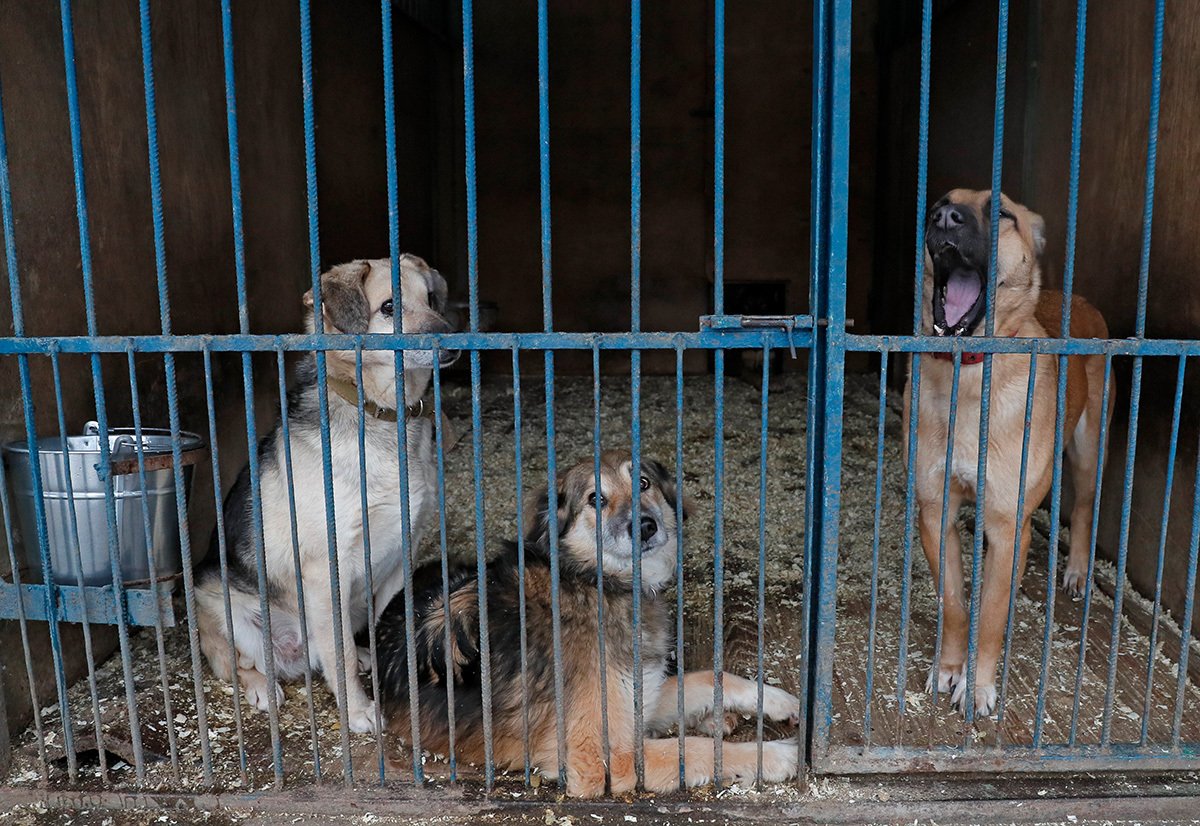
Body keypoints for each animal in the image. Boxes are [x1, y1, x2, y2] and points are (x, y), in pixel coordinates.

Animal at [196, 253, 458, 729]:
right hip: (219, 603)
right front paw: (358, 710)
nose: (451, 343)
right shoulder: (325, 571)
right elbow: (337, 656)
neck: (380, 414)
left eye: (431, 298)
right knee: (242, 664)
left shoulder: (400, 556)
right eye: (389, 307)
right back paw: (263, 688)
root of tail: (297, 652)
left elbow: (381, 625)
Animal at [902, 188, 1108, 715]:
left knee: (1082, 507)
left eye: (1002, 213)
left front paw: (977, 686)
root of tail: (1078, 297)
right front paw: (949, 669)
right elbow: (955, 604)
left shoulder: (1008, 525)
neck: (970, 372)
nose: (943, 217)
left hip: (1088, 450)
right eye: (939, 201)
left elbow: (992, 613)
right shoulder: (936, 511)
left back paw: (1077, 571)